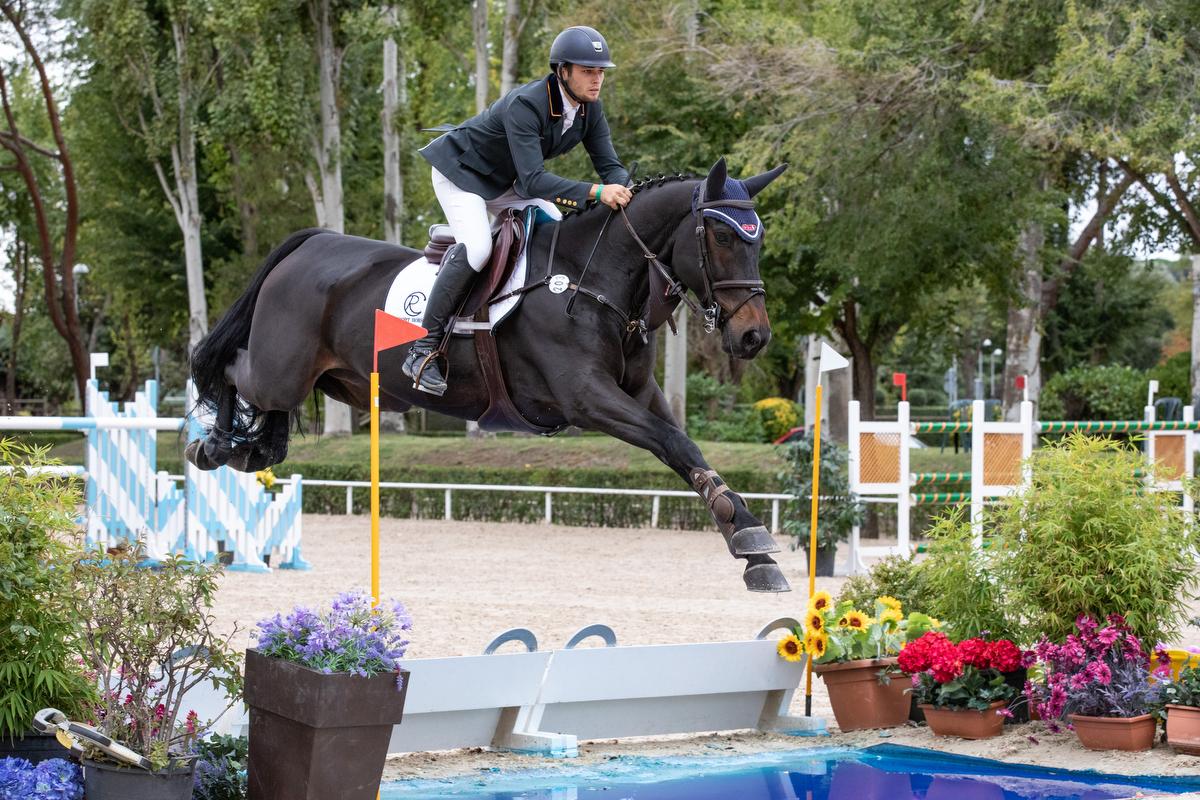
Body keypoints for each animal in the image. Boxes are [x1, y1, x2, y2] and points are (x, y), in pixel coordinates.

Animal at [184, 159, 796, 592]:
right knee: (230, 367)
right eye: (722, 237)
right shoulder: (586, 398)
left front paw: (751, 544)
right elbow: (671, 441)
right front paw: (748, 536)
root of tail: (312, 243)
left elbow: (684, 447)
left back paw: (256, 445)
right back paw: (213, 443)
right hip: (279, 370)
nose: (754, 337)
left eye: (760, 238)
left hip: (334, 380)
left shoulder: (639, 393)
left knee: (268, 409)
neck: (595, 279)